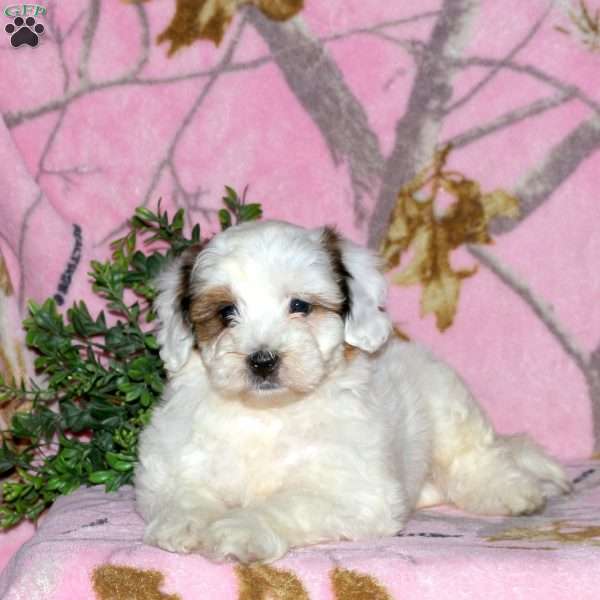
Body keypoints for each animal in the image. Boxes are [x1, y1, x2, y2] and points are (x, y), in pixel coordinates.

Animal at [136, 219, 572, 564]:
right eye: (226, 313)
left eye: (300, 306)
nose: (262, 360)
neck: (267, 412)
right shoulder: (168, 465)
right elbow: (183, 489)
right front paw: (185, 521)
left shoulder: (350, 490)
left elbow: (289, 502)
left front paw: (242, 528)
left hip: (449, 407)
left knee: (476, 457)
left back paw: (512, 490)